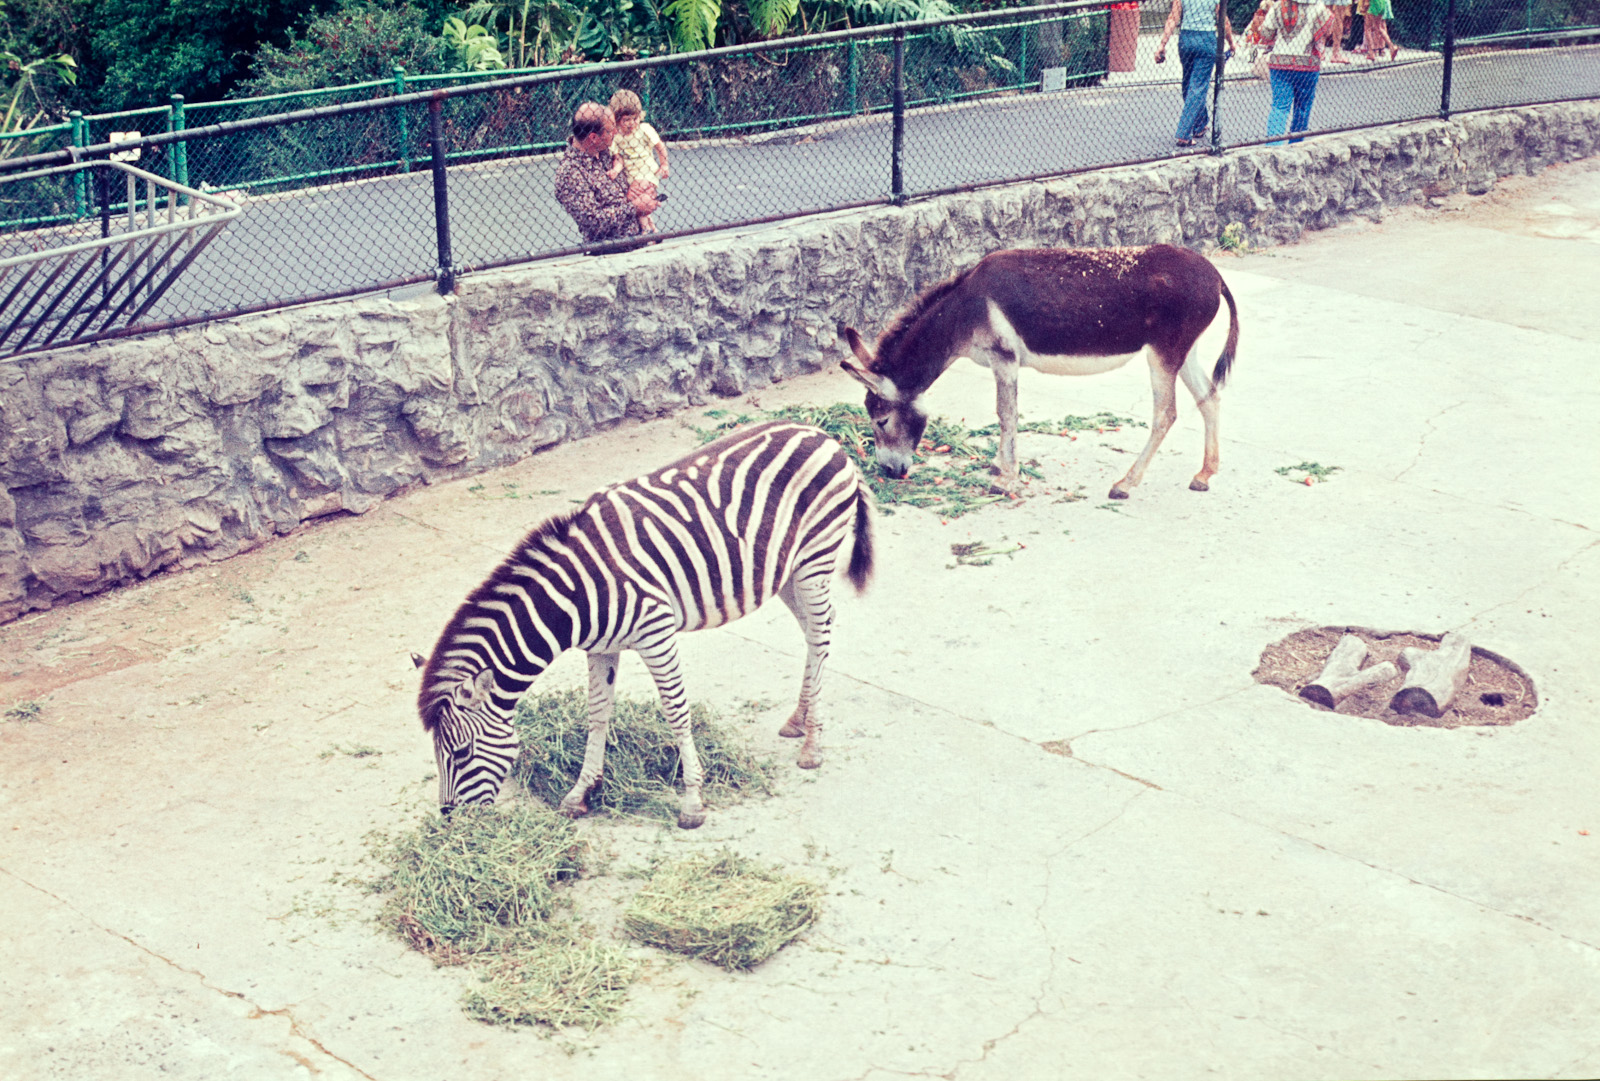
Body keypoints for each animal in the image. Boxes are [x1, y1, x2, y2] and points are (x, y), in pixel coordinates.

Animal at [414, 420, 875, 829]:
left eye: (460, 753)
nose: (450, 821)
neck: (577, 593)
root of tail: (824, 436)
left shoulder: (657, 634)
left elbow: (677, 712)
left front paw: (692, 802)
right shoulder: (601, 648)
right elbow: (597, 714)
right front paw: (581, 793)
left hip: (815, 557)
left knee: (820, 631)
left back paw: (813, 743)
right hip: (786, 569)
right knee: (817, 630)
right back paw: (799, 718)